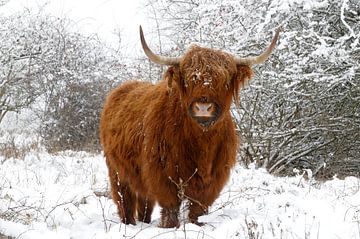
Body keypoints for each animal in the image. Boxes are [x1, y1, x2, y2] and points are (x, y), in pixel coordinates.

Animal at [100, 26, 280, 228]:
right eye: (189, 80)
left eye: (224, 81)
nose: (203, 107)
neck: (202, 142)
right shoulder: (162, 175)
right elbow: (170, 208)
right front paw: (170, 227)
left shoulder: (213, 180)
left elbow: (198, 210)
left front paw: (196, 225)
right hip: (117, 171)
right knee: (125, 200)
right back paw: (128, 223)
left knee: (145, 203)